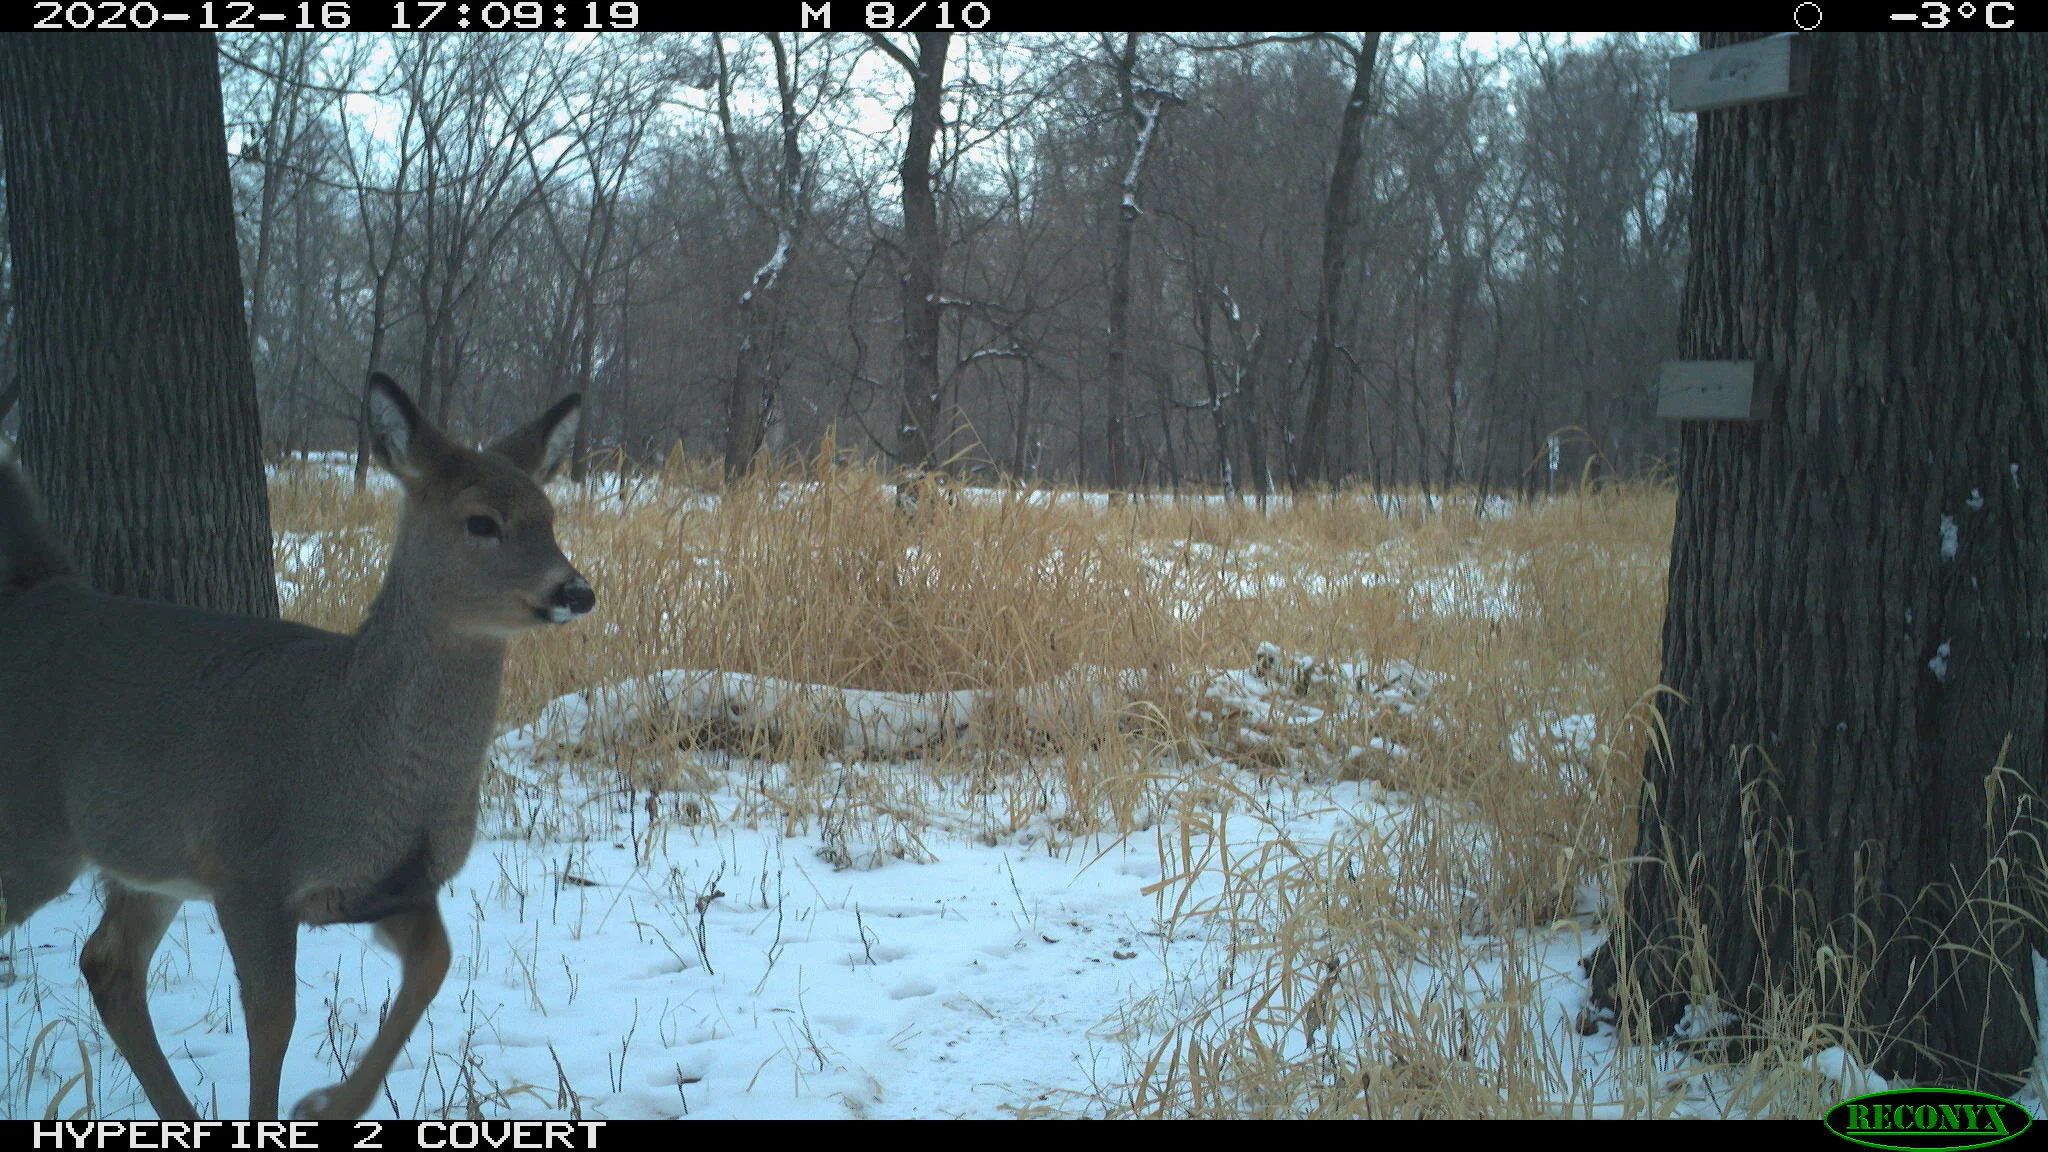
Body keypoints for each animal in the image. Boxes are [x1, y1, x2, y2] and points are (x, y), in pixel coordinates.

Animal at [0, 374, 594, 1121]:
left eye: (549, 514)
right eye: (481, 521)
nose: (576, 589)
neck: (353, 748)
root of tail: (35, 597)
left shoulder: (389, 886)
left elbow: (435, 963)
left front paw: (328, 1103)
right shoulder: (251, 869)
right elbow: (271, 1020)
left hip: (147, 855)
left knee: (107, 962)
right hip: (34, 835)